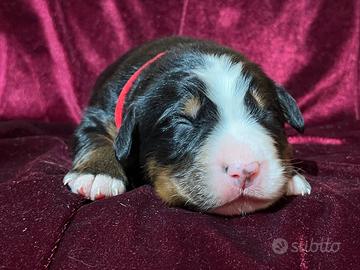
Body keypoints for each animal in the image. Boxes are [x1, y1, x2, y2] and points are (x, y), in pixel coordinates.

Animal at [63, 37, 310, 216]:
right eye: (182, 121)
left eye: (266, 112)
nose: (245, 170)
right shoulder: (98, 115)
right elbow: (95, 137)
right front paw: (98, 172)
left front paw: (292, 177)